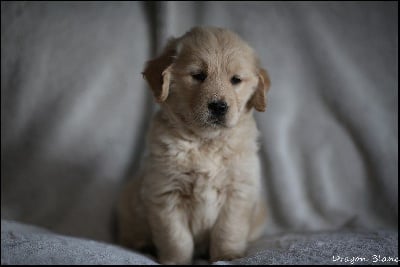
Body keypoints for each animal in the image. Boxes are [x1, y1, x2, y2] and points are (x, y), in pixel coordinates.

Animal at [117, 26, 270, 264]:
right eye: (198, 75)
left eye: (235, 80)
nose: (219, 106)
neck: (206, 142)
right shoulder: (165, 193)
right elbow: (176, 238)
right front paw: (175, 261)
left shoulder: (239, 190)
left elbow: (228, 230)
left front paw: (227, 256)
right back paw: (142, 245)